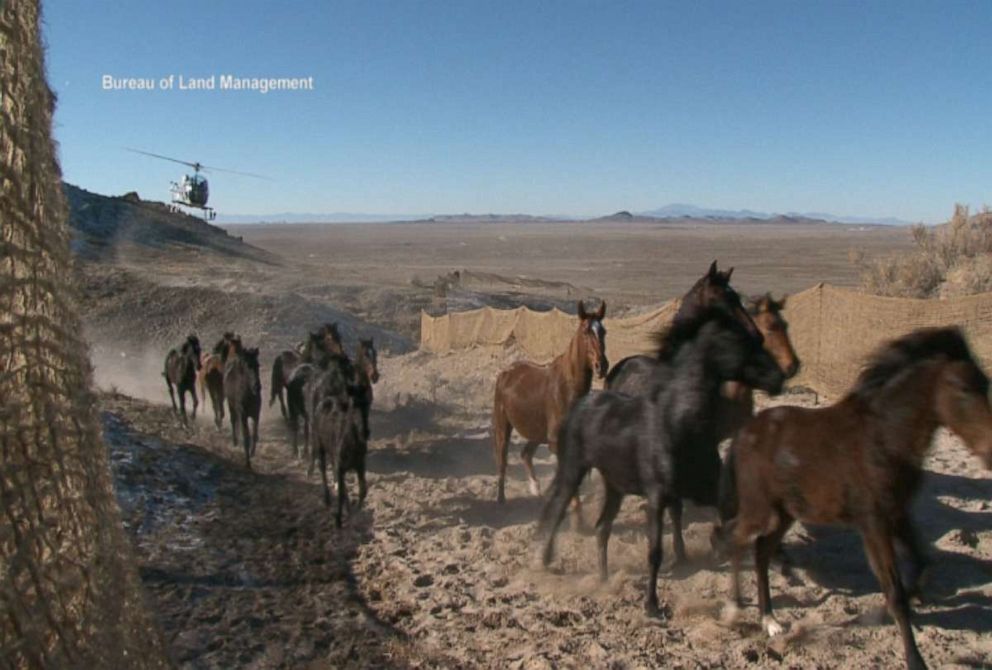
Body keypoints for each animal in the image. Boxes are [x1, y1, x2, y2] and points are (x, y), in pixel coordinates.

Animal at [224, 338, 262, 470]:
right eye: (248, 366)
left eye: (257, 365)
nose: (257, 386)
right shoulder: (243, 415)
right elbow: (246, 437)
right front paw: (247, 463)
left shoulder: (256, 414)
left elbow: (254, 434)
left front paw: (252, 453)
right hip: (231, 406)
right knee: (233, 420)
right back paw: (235, 442)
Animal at [492, 300, 608, 504]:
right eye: (586, 331)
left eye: (603, 331)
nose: (601, 366)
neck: (567, 389)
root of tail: (505, 373)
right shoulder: (557, 444)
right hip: (503, 426)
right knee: (503, 459)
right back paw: (501, 498)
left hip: (536, 431)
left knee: (526, 453)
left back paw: (536, 489)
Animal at [536, 308, 784, 616]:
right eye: (739, 341)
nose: (778, 377)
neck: (678, 423)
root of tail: (581, 404)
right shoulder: (657, 496)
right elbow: (654, 551)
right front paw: (652, 605)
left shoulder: (706, 492)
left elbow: (732, 526)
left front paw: (742, 594)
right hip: (574, 470)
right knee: (560, 506)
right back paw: (545, 559)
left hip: (614, 485)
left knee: (602, 527)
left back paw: (604, 579)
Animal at [720, 324, 992, 668]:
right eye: (961, 387)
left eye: (985, 384)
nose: (991, 454)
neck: (884, 438)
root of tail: (743, 435)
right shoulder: (873, 521)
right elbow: (895, 591)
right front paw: (914, 658)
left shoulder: (898, 514)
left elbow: (921, 564)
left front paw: (885, 613)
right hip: (761, 509)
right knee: (735, 538)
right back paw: (734, 610)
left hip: (784, 513)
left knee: (760, 551)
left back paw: (769, 620)